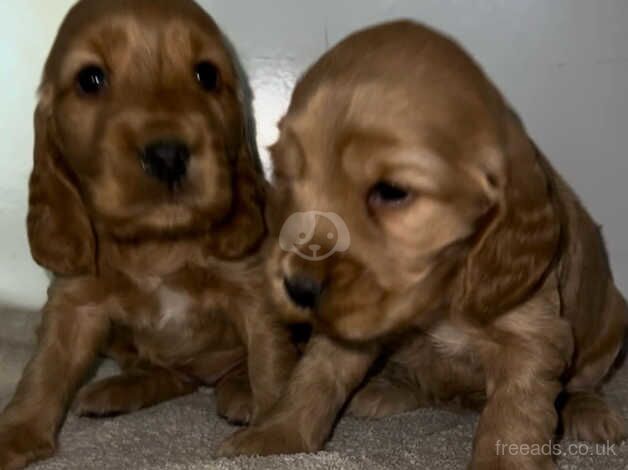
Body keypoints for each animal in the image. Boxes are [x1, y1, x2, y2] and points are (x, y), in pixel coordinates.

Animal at [0, 0, 296, 470]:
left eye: (206, 74)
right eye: (90, 79)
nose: (168, 155)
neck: (158, 240)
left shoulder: (253, 291)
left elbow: (271, 362)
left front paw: (272, 436)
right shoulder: (73, 302)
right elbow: (44, 370)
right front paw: (15, 434)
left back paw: (239, 392)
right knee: (170, 374)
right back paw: (116, 390)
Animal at [221, 19, 628, 470]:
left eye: (392, 191)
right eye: (288, 175)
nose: (298, 290)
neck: (441, 291)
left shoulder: (531, 335)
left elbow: (513, 417)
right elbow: (315, 376)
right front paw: (274, 438)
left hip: (611, 327)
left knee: (584, 383)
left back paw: (591, 413)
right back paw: (384, 389)